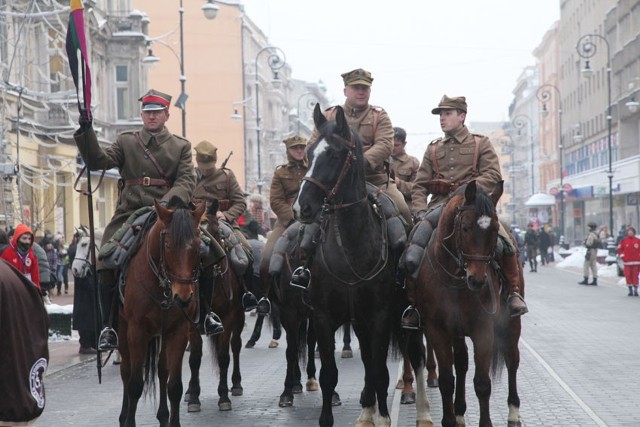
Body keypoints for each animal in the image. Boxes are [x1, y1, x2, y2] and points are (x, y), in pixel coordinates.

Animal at [116, 198, 204, 427]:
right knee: (126, 372)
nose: (183, 297)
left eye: (198, 245)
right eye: (168, 245)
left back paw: (163, 415)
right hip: (122, 329)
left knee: (162, 370)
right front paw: (129, 422)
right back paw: (123, 416)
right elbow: (135, 385)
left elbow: (174, 386)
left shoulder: (178, 332)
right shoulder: (137, 331)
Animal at [186, 201, 246, 414]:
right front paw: (194, 397)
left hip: (239, 318)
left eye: (217, 231)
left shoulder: (227, 319)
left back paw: (235, 384)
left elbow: (223, 356)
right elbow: (194, 358)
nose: (204, 253)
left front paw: (223, 397)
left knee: (235, 346)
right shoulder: (191, 325)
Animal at [292, 104, 428, 427]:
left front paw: (385, 417)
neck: (351, 249)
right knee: (368, 359)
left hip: (407, 316)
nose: (302, 207)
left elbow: (380, 372)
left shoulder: (380, 316)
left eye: (334, 155)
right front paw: (332, 416)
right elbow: (330, 375)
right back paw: (366, 410)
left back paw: (423, 412)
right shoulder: (325, 317)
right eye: (310, 153)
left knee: (416, 357)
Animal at [408, 181, 524, 427]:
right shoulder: (438, 331)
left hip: (511, 324)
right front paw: (449, 419)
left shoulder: (483, 330)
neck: (455, 281)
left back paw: (513, 412)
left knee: (512, 359)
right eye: (465, 228)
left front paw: (486, 422)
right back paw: (460, 412)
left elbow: (482, 382)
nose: (477, 280)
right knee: (461, 364)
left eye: (494, 230)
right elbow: (447, 380)